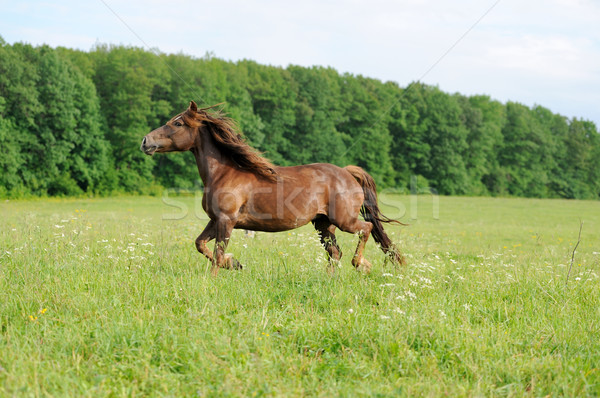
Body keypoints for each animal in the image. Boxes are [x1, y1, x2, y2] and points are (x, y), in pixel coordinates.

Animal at [141, 101, 406, 276]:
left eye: (177, 123)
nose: (145, 141)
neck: (224, 173)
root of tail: (347, 172)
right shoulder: (215, 220)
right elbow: (200, 244)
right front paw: (235, 263)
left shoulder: (226, 220)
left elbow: (216, 253)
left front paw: (218, 275)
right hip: (323, 224)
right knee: (335, 253)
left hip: (344, 221)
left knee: (365, 229)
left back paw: (362, 264)